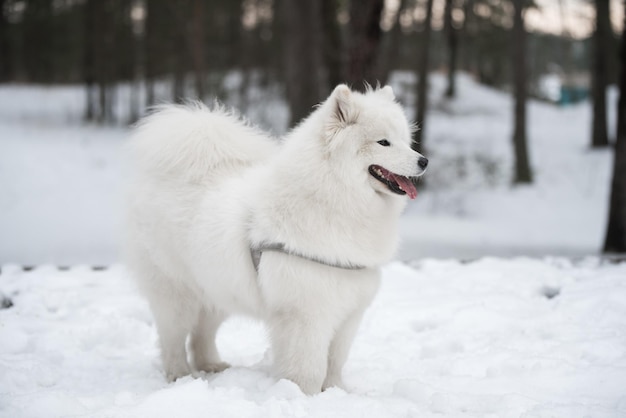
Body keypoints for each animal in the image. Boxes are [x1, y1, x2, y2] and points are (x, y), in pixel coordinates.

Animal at [125, 85, 428, 396]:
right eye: (384, 142)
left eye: (405, 141)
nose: (424, 161)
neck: (333, 197)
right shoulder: (305, 314)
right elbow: (309, 367)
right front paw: (302, 395)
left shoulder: (349, 313)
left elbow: (335, 361)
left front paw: (336, 392)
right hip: (176, 292)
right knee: (172, 338)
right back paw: (179, 375)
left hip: (218, 289)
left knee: (202, 333)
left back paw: (212, 365)